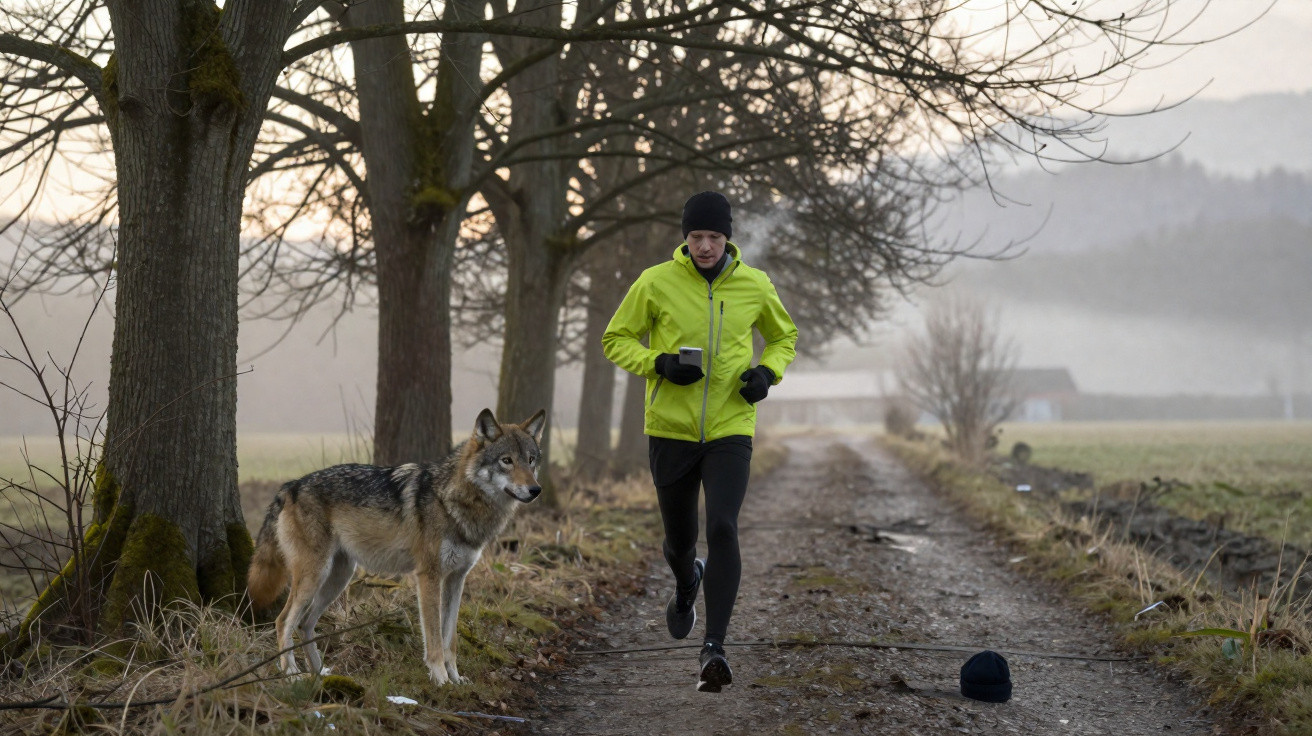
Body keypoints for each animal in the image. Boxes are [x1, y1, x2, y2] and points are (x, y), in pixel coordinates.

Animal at [247, 408, 546, 685]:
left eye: (531, 460)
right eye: (507, 461)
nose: (536, 490)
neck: (454, 500)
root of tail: (289, 486)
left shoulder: (456, 579)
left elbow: (450, 640)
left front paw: (456, 679)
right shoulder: (428, 577)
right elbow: (434, 639)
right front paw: (441, 680)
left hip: (338, 579)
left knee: (305, 624)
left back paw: (321, 673)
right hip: (314, 576)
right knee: (283, 621)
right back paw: (292, 674)